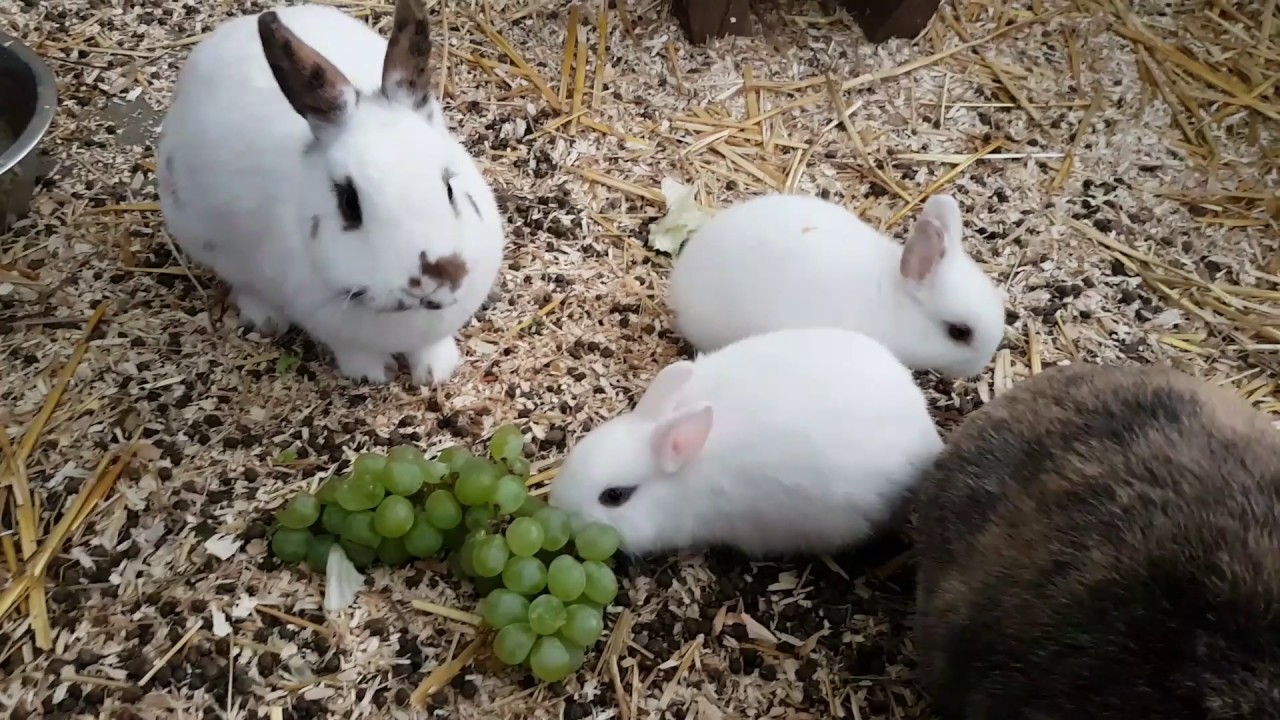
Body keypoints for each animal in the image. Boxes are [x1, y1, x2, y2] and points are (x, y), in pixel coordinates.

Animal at [155, 0, 505, 384]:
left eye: (449, 187)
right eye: (349, 203)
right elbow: (355, 352)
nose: (431, 279)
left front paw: (434, 373)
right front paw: (374, 374)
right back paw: (265, 318)